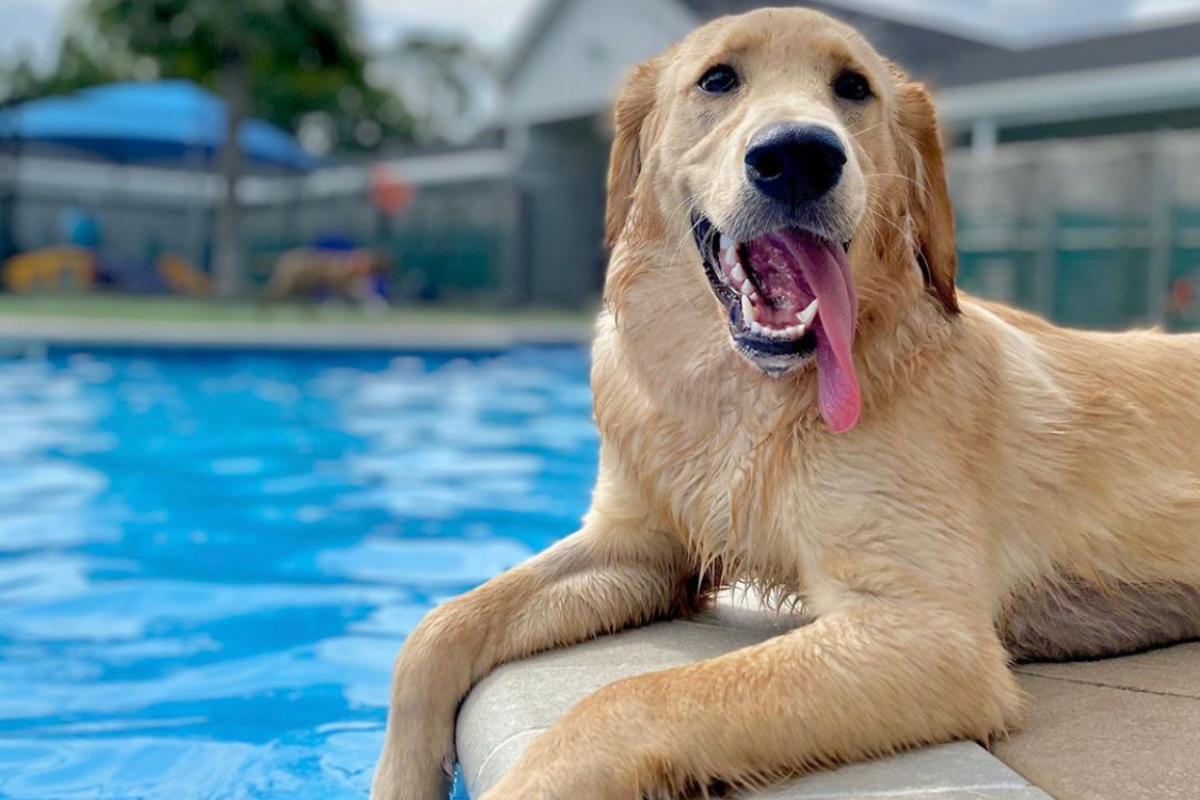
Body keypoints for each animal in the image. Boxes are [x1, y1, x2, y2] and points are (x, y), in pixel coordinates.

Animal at [369, 7, 1200, 800]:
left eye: (855, 87)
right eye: (717, 79)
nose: (799, 155)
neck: (746, 401)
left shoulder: (928, 632)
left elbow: (635, 698)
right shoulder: (639, 550)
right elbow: (436, 629)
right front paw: (401, 778)